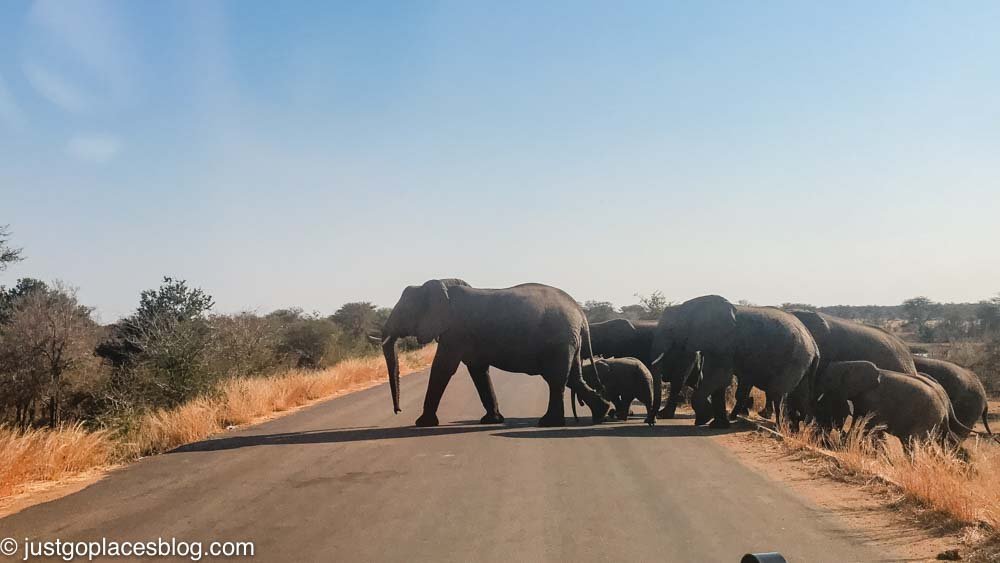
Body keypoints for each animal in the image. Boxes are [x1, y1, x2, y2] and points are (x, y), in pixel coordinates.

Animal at [378, 280, 612, 430]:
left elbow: (443, 368)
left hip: (558, 341)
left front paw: (422, 424)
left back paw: (548, 423)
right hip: (568, 342)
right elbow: (478, 371)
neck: (443, 288)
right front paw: (492, 420)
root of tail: (581, 314)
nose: (398, 410)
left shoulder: (456, 332)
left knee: (555, 378)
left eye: (403, 312)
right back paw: (602, 414)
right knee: (572, 377)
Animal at [648, 298, 820, 430]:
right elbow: (718, 382)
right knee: (801, 395)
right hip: (804, 363)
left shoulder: (723, 343)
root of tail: (814, 345)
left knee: (778, 393)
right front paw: (717, 424)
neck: (688, 306)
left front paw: (704, 419)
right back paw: (799, 428)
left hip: (795, 359)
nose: (652, 421)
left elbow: (718, 377)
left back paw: (781, 428)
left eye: (671, 329)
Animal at [812, 364, 968, 448]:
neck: (850, 364)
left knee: (912, 443)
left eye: (828, 379)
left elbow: (868, 425)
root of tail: (945, 408)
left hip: (926, 418)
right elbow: (859, 420)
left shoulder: (873, 400)